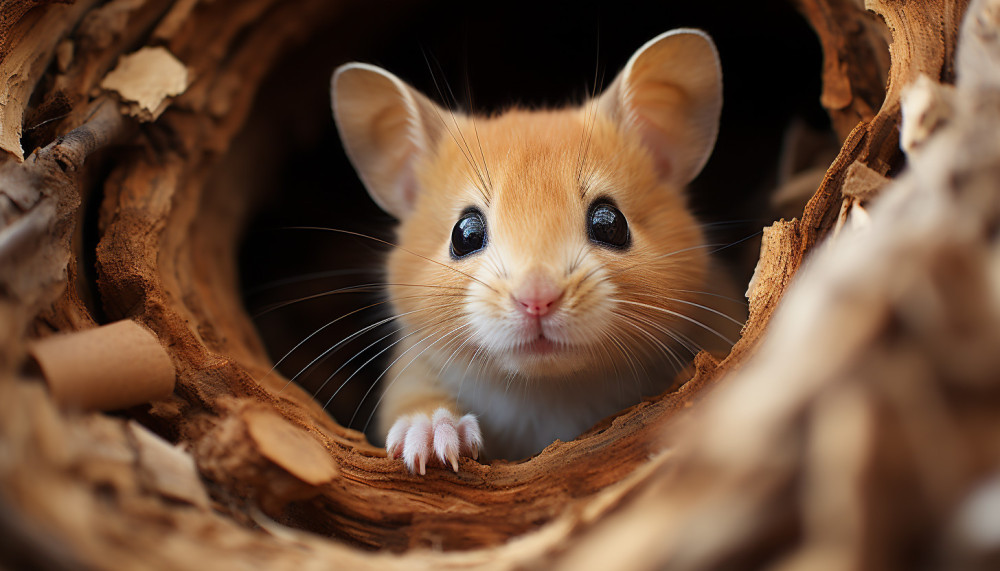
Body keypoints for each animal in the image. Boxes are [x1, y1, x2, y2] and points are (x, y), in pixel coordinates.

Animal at [330, 29, 741, 473]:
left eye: (610, 223)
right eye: (464, 235)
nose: (537, 301)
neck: (547, 385)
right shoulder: (412, 366)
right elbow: (414, 403)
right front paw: (431, 442)